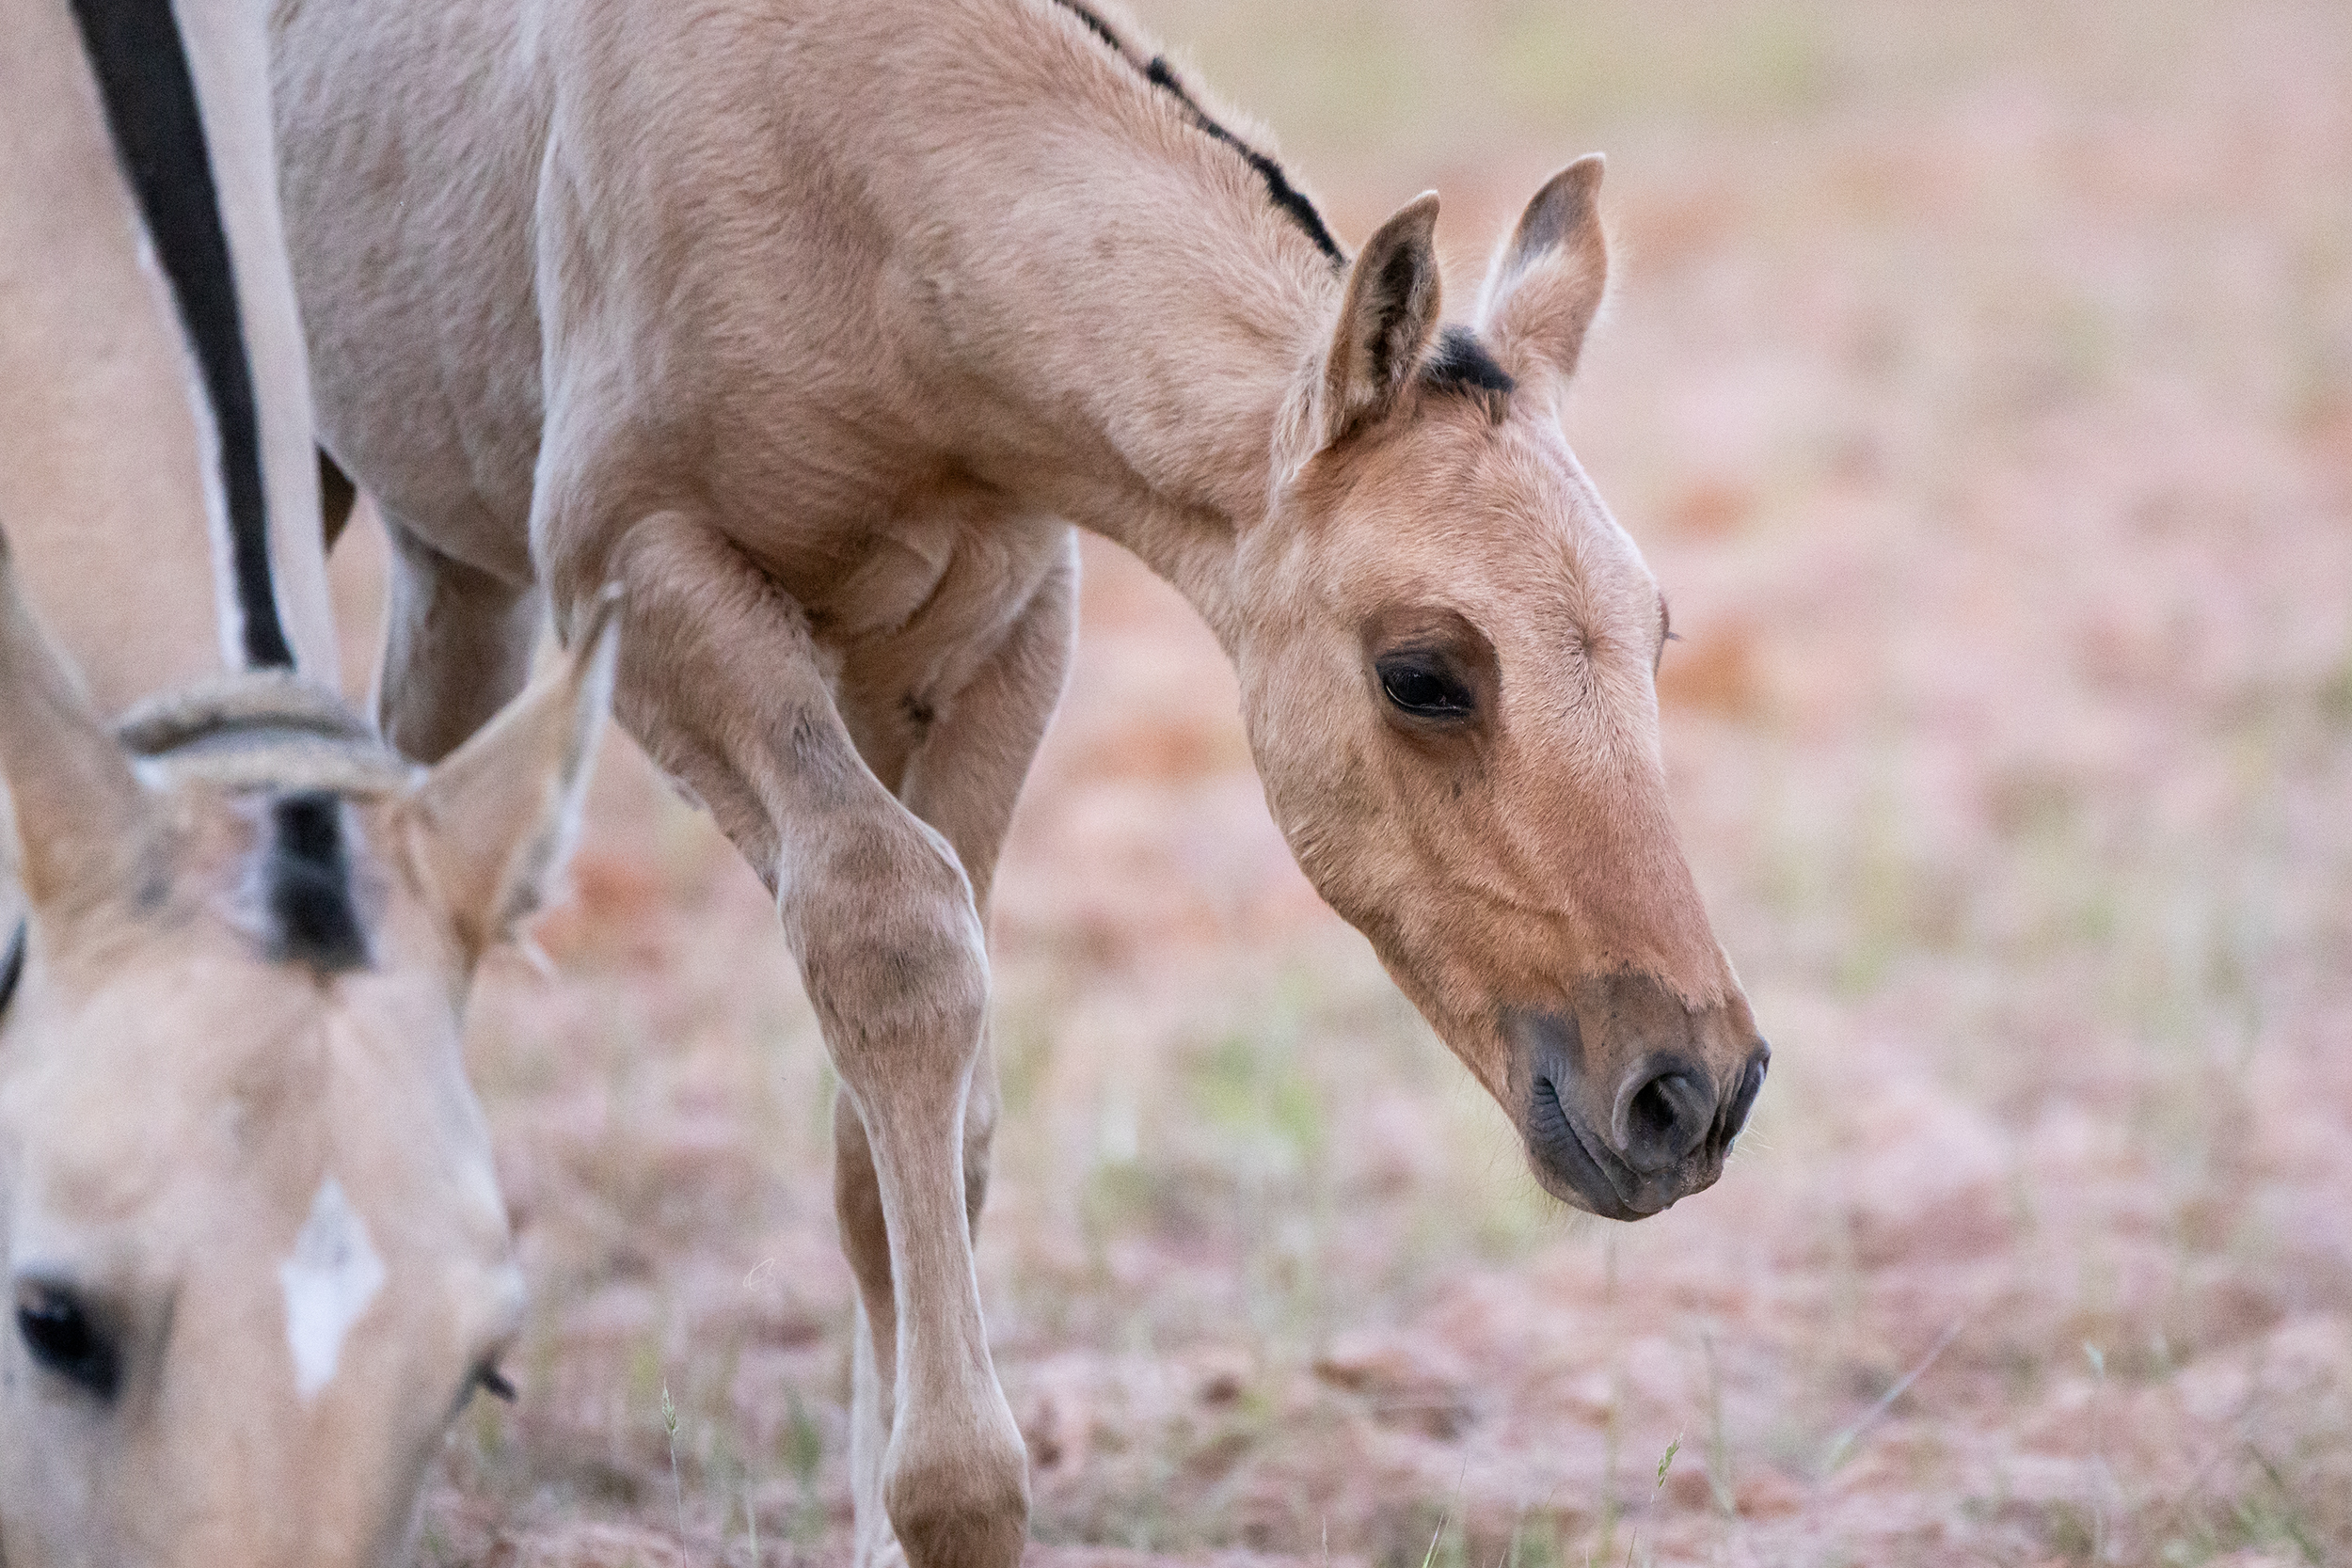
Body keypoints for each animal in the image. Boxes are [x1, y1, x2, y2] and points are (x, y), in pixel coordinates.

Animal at [275, 0, 1769, 1560]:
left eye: (1659, 636)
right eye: (1421, 673)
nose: (1689, 1095)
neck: (844, 160)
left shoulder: (998, 630)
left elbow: (911, 1109)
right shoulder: (635, 572)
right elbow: (896, 947)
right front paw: (956, 1499)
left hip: (458, 573)